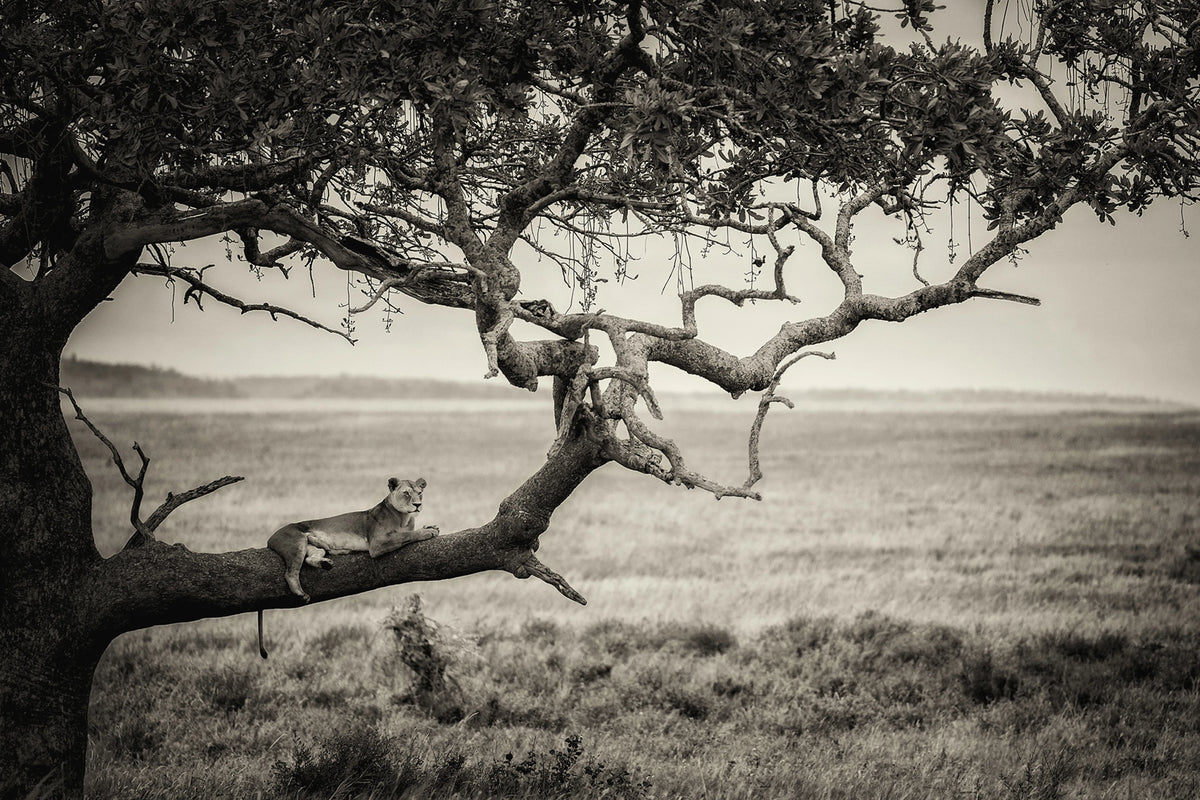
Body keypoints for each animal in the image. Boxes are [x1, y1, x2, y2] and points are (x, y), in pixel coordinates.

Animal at [257, 476, 438, 658]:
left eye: (420, 493)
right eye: (406, 493)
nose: (418, 504)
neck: (405, 518)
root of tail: (269, 538)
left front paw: (430, 527)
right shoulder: (377, 543)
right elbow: (407, 535)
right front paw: (427, 531)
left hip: (314, 546)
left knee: (310, 559)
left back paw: (325, 564)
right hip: (296, 541)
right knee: (290, 572)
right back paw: (301, 592)